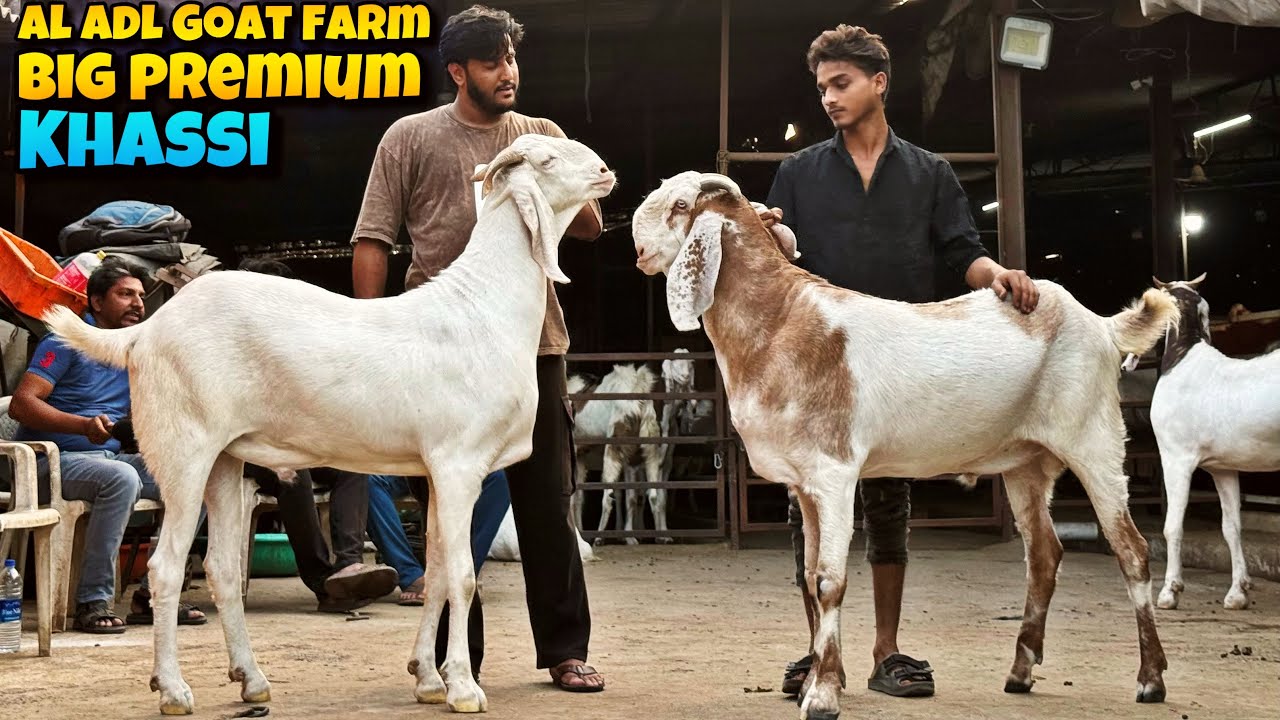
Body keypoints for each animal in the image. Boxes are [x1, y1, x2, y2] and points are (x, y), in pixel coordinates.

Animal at [42, 134, 615, 716]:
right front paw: (462, 687)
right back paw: (175, 689)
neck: (483, 309)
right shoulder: (459, 464)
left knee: (222, 569)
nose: (605, 171)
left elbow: (435, 573)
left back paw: (251, 680)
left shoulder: (434, 470)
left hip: (224, 458)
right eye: (546, 160)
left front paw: (427, 678)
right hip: (183, 450)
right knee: (166, 567)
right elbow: (462, 575)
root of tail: (145, 331)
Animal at [569, 364, 670, 544]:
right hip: (648, 451)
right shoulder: (581, 456)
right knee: (652, 495)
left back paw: (599, 538)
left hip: (613, 448)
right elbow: (579, 497)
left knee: (608, 496)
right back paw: (654, 537)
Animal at [632, 171, 1179, 719]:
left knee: (1131, 549)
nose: (637, 246)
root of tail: (1101, 324)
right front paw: (813, 682)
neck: (781, 320)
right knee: (1044, 554)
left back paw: (1151, 679)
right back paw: (1020, 672)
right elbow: (807, 575)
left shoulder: (834, 474)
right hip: (1026, 462)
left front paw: (823, 695)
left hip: (1094, 441)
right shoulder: (804, 484)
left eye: (680, 205)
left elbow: (829, 581)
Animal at [1150, 274, 1280, 611]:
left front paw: (1170, 592)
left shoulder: (1176, 461)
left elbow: (1173, 526)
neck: (1183, 361)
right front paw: (1237, 593)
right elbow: (1231, 527)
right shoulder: (1223, 469)